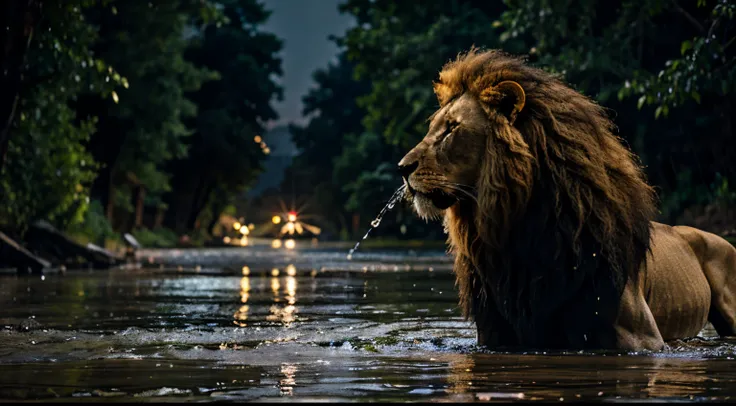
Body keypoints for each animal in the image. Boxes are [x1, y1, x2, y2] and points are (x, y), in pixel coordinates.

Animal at [396, 48, 736, 352]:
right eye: (433, 127)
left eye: (452, 128)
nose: (402, 167)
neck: (517, 234)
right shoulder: (495, 334)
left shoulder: (641, 336)